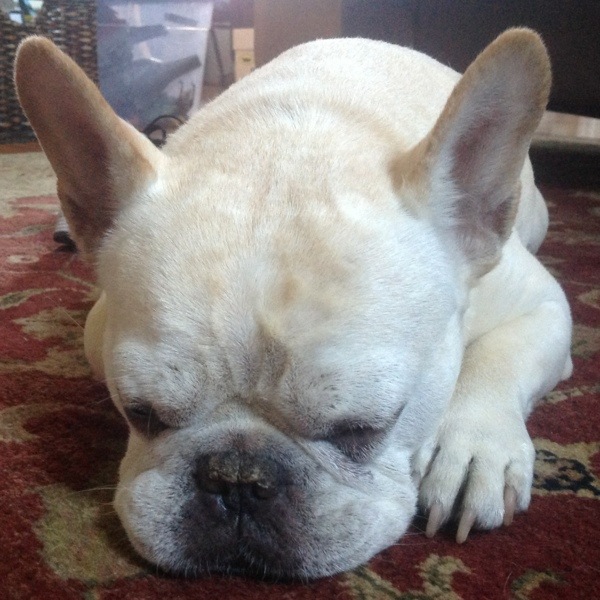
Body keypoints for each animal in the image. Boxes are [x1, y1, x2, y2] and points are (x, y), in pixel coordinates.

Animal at [15, 29, 572, 579]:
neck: (290, 143)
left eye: (362, 430)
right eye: (141, 413)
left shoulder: (545, 307)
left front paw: (473, 449)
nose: (237, 478)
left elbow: (499, 360)